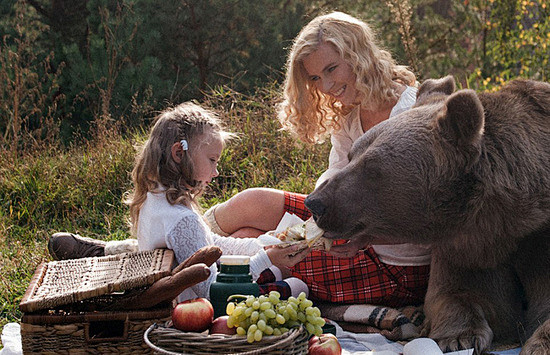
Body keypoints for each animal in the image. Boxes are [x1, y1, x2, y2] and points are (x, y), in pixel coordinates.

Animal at [308, 76, 548, 354]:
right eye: (351, 155)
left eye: (371, 167)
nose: (315, 203)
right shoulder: (466, 247)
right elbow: (453, 292)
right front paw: (459, 336)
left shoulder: (533, 238)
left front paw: (537, 343)